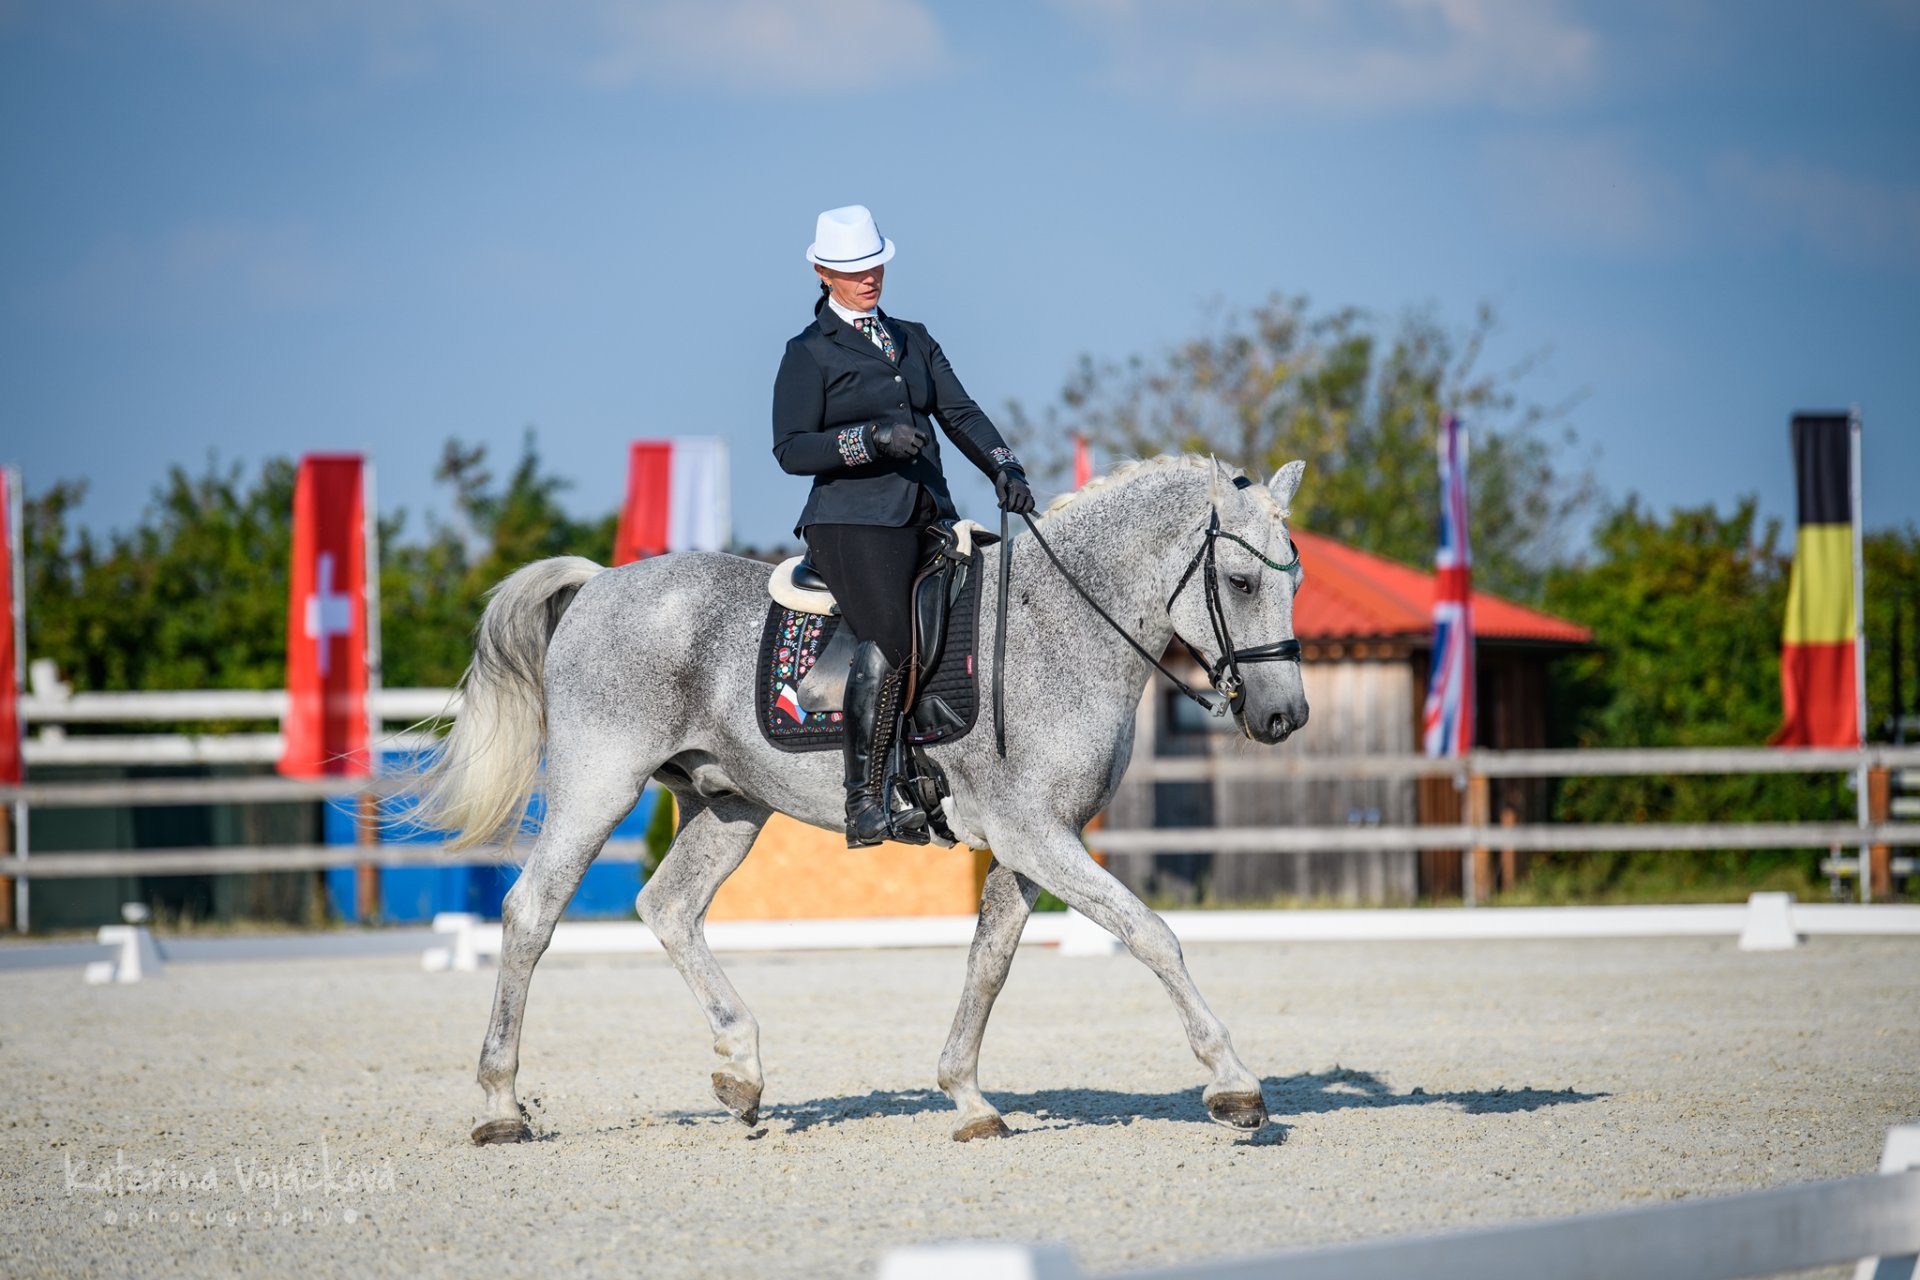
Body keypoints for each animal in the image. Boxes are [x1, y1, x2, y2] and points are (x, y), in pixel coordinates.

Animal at [422, 454, 1313, 1143]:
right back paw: (500, 1108)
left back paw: (741, 1072)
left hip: (730, 806)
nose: (1284, 717)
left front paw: (968, 1098)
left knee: (668, 908)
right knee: (532, 913)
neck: (1060, 627)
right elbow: (1151, 935)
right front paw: (1234, 1085)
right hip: (599, 785)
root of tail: (600, 583)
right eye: (1239, 582)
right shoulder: (1036, 834)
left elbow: (990, 962)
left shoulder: (1035, 840)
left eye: (1295, 577)